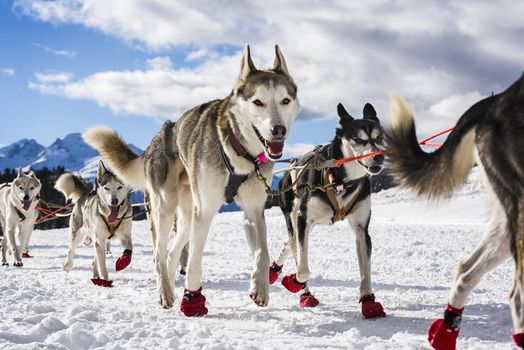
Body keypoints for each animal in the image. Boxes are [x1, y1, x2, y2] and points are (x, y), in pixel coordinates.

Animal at [84, 45, 300, 316]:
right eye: (258, 102)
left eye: (285, 100)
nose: (278, 130)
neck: (238, 151)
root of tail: (159, 136)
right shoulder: (204, 212)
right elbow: (196, 260)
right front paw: (193, 300)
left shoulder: (253, 210)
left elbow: (262, 252)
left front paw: (259, 287)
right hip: (167, 208)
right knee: (159, 253)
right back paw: (165, 293)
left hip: (186, 216)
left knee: (171, 253)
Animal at [272, 102, 386, 318]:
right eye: (358, 139)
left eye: (378, 138)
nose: (380, 157)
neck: (341, 180)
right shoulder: (303, 219)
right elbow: (303, 269)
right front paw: (294, 282)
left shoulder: (361, 229)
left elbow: (365, 272)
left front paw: (368, 301)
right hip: (295, 218)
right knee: (295, 247)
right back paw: (304, 294)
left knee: (288, 242)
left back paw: (272, 271)